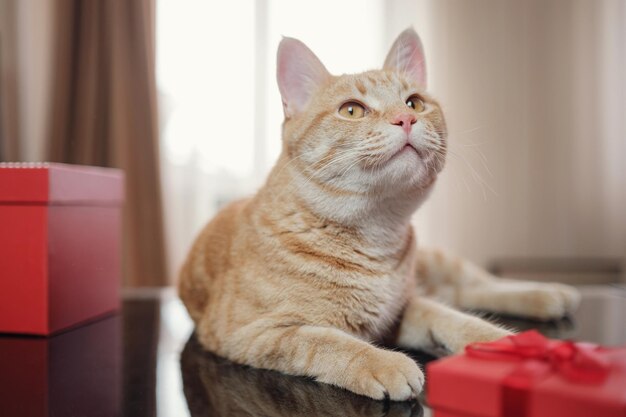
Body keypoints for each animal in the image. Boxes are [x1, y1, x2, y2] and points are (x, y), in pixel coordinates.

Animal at [178, 27, 576, 398]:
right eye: (352, 110)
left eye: (414, 102)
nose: (405, 119)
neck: (375, 234)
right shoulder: (250, 331)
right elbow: (324, 341)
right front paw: (384, 362)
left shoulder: (403, 309)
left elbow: (450, 317)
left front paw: (505, 342)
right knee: (459, 292)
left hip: (435, 265)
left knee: (476, 285)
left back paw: (549, 293)